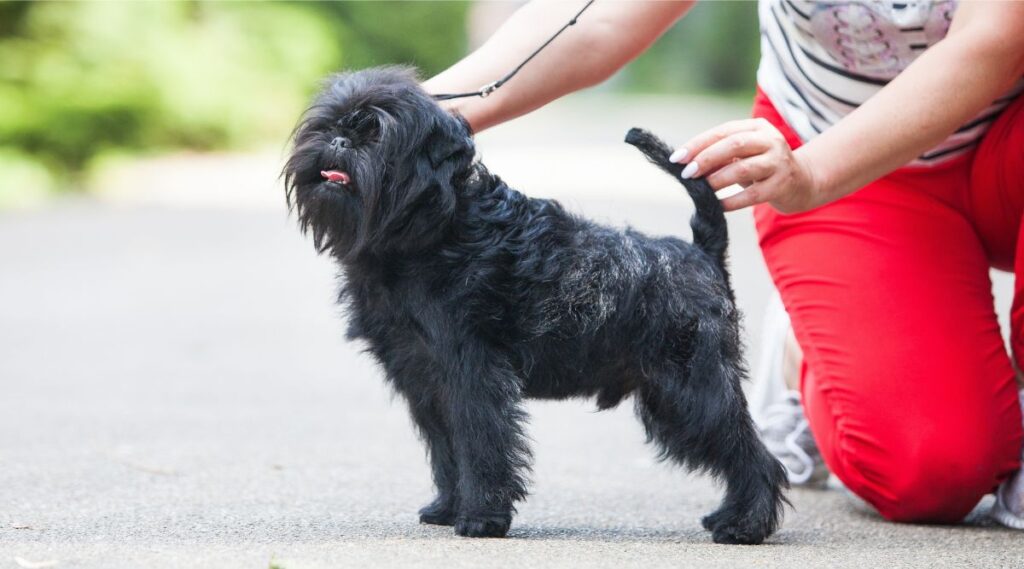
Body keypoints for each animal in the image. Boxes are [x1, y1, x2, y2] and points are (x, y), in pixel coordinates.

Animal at [284, 67, 786, 548]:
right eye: (327, 125)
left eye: (376, 134)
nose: (340, 141)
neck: (434, 227)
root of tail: (701, 252)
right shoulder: (424, 381)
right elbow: (447, 450)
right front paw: (447, 508)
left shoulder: (472, 373)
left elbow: (481, 445)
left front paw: (481, 519)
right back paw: (730, 516)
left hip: (690, 385)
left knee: (749, 452)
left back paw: (745, 526)